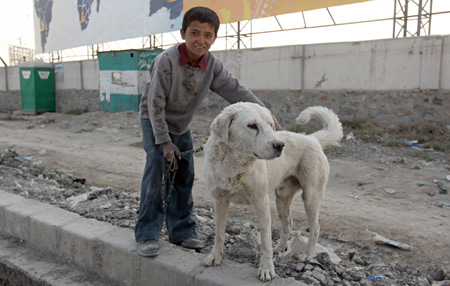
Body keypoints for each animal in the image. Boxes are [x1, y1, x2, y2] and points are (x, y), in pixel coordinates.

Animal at [202, 102, 342, 282]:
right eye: (252, 126)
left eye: (270, 125)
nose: (280, 145)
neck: (236, 166)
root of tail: (312, 139)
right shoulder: (219, 201)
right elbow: (219, 233)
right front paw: (215, 256)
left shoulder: (261, 202)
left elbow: (265, 241)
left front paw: (267, 269)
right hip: (282, 198)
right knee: (288, 223)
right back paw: (280, 248)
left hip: (311, 197)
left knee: (315, 228)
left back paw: (308, 255)